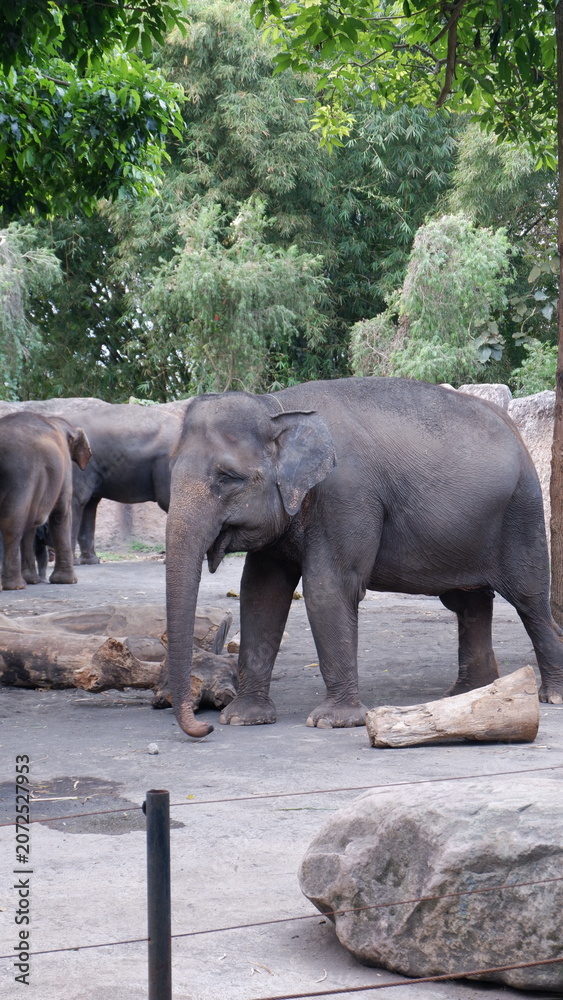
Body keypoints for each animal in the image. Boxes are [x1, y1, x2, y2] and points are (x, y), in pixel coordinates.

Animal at [0, 412, 91, 589]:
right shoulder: (65, 469)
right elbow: (61, 513)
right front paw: (67, 581)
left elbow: (31, 526)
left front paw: (33, 580)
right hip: (19, 477)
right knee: (12, 524)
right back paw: (16, 586)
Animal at [164, 376, 563, 739]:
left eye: (228, 478)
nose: (204, 727)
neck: (277, 406)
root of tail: (514, 428)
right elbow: (261, 593)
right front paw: (242, 718)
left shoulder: (347, 495)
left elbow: (327, 589)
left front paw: (331, 722)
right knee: (469, 603)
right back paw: (467, 694)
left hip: (522, 511)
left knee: (529, 601)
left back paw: (551, 696)